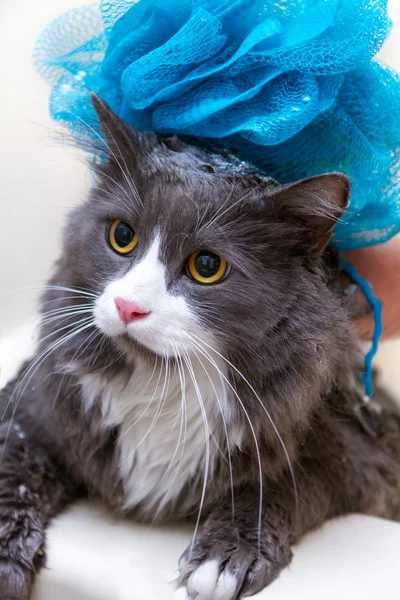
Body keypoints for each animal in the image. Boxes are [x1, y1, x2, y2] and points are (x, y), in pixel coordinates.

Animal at [0, 94, 400, 600]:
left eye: (206, 266)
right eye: (122, 236)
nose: (129, 307)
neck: (163, 388)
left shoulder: (362, 455)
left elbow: (283, 486)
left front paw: (226, 557)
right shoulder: (28, 408)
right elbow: (12, 468)